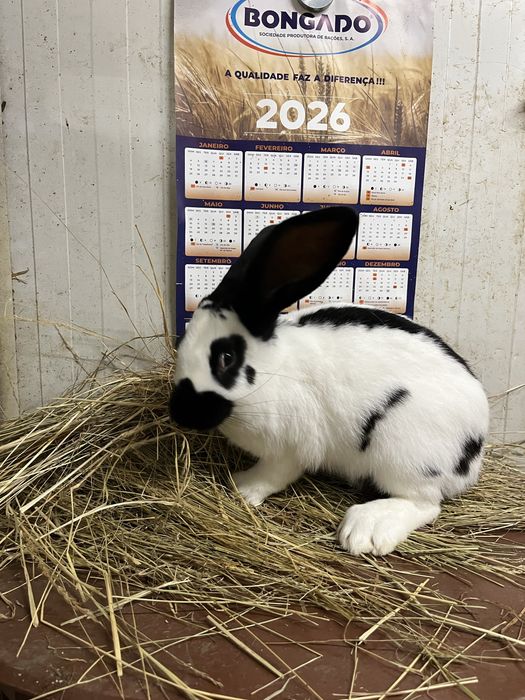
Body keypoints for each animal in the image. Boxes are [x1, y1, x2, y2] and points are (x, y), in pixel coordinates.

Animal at [169, 207, 489, 556]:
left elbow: (273, 474)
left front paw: (242, 488)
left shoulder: (290, 447)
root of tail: (476, 446)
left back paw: (365, 529)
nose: (180, 413)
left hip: (404, 453)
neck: (275, 369)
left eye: (226, 358)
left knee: (425, 503)